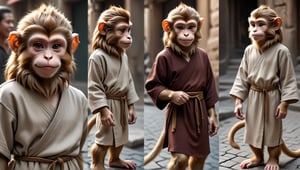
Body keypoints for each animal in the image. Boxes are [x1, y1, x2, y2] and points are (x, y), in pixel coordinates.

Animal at [86, 5, 139, 170]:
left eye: (128, 30)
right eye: (122, 30)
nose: (129, 37)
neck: (111, 51)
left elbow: (130, 85)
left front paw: (132, 112)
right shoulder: (95, 61)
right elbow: (96, 86)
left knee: (120, 141)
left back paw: (116, 161)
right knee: (102, 145)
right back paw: (98, 165)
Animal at [145, 2, 218, 170]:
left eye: (191, 26)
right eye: (179, 27)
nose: (186, 34)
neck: (184, 52)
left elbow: (209, 90)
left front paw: (213, 122)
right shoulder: (160, 59)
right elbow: (154, 85)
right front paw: (178, 96)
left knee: (198, 158)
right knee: (182, 158)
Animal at [229, 4, 298, 169]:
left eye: (261, 24)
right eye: (253, 24)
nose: (254, 30)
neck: (265, 46)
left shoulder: (285, 54)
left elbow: (286, 81)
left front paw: (283, 107)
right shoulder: (246, 52)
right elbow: (242, 79)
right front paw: (238, 106)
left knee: (274, 144)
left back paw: (272, 161)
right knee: (254, 140)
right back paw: (256, 159)